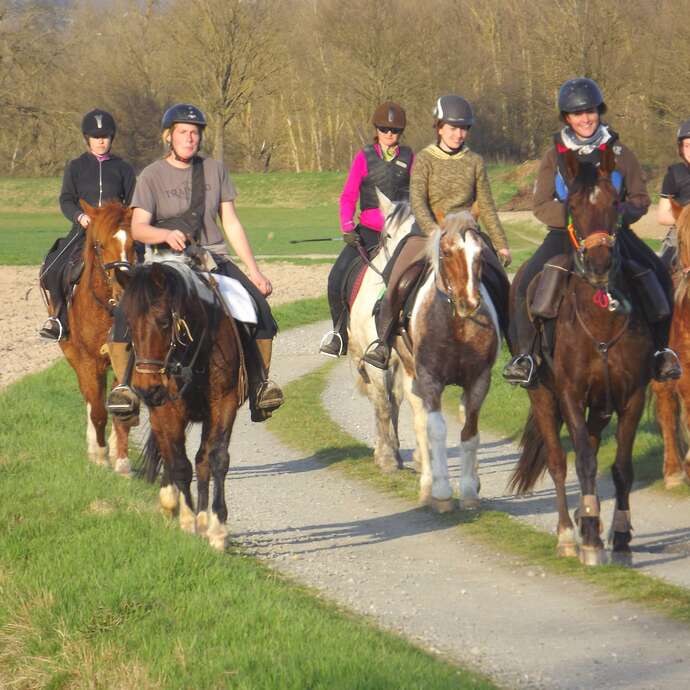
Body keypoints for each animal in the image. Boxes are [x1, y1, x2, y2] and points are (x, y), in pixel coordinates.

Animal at [43, 199, 136, 472]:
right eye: (99, 245)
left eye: (133, 244)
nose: (123, 283)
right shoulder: (88, 360)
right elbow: (97, 410)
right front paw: (101, 457)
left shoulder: (124, 359)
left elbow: (120, 406)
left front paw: (121, 460)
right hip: (74, 356)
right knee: (89, 397)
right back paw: (95, 448)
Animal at [119, 254, 243, 548]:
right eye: (128, 323)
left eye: (164, 321)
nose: (148, 389)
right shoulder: (167, 409)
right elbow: (179, 463)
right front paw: (187, 522)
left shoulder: (223, 403)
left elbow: (215, 458)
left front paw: (216, 527)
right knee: (168, 451)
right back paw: (170, 501)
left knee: (202, 459)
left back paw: (202, 517)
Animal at [508, 149, 652, 564]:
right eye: (571, 206)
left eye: (616, 203)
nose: (600, 264)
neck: (601, 317)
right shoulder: (569, 393)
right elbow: (583, 460)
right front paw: (588, 539)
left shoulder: (632, 394)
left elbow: (620, 467)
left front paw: (619, 537)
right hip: (541, 393)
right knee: (559, 461)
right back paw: (568, 535)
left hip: (601, 403)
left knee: (589, 440)